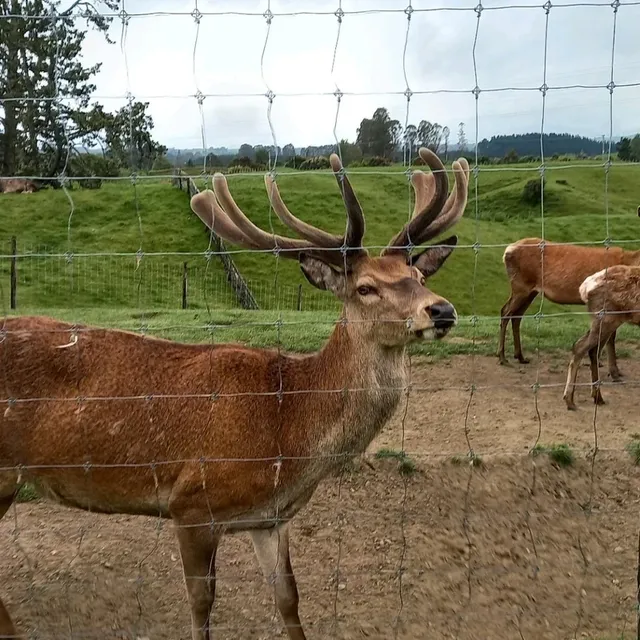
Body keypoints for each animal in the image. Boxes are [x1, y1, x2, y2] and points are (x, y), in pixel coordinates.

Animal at [0, 148, 470, 636]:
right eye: (365, 287)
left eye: (418, 275)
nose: (442, 310)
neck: (286, 431)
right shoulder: (191, 505)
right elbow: (202, 603)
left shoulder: (270, 519)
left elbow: (288, 599)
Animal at [498, 235, 640, 378]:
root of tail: (507, 250)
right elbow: (611, 338)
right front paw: (614, 372)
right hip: (520, 285)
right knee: (505, 311)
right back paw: (502, 357)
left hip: (530, 291)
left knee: (516, 316)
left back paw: (520, 356)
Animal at [564, 264, 640, 410]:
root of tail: (584, 287)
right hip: (607, 318)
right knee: (580, 346)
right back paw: (570, 400)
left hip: (603, 321)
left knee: (593, 351)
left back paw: (597, 397)